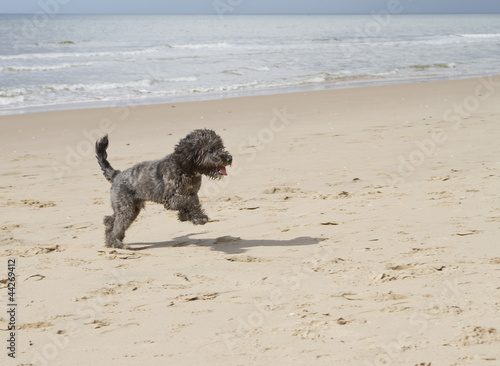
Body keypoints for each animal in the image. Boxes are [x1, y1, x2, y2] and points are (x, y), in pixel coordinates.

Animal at [95, 129, 232, 249]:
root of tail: (116, 174)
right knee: (117, 224)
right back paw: (117, 244)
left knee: (109, 220)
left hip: (131, 208)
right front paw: (197, 217)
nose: (229, 158)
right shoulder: (171, 198)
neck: (184, 168)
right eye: (210, 150)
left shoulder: (191, 193)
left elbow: (193, 203)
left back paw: (110, 239)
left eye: (220, 147)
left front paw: (192, 217)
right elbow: (188, 203)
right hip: (126, 208)